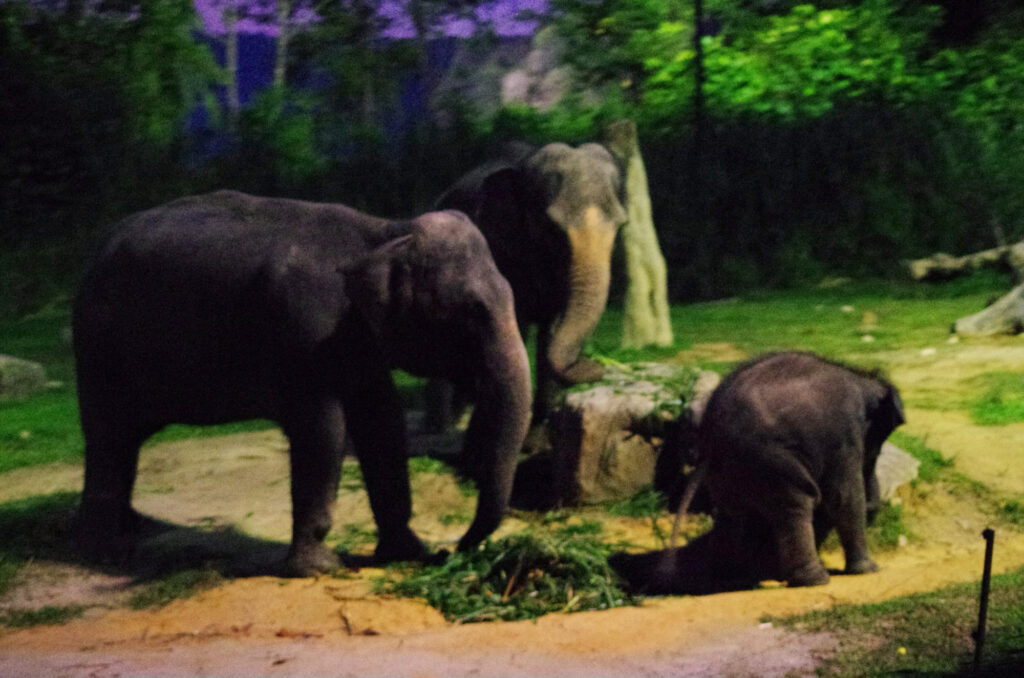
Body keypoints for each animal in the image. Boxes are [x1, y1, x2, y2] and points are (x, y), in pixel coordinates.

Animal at [72, 191, 532, 577]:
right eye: (472, 310)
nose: (452, 550)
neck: (385, 232)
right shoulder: (306, 332)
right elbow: (324, 431)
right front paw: (319, 569)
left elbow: (383, 424)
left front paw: (406, 553)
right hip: (98, 343)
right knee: (108, 437)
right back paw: (106, 552)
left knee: (123, 440)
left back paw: (132, 526)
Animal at [430, 142, 626, 430]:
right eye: (551, 227)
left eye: (621, 225)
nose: (597, 366)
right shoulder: (499, 250)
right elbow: (514, 324)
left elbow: (553, 326)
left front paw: (540, 428)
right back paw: (450, 425)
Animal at [606, 350, 905, 594]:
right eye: (877, 444)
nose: (877, 507)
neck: (863, 377)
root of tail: (713, 436)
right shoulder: (843, 436)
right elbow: (843, 497)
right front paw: (868, 570)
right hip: (769, 459)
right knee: (799, 500)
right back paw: (814, 580)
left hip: (732, 472)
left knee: (734, 514)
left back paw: (735, 580)